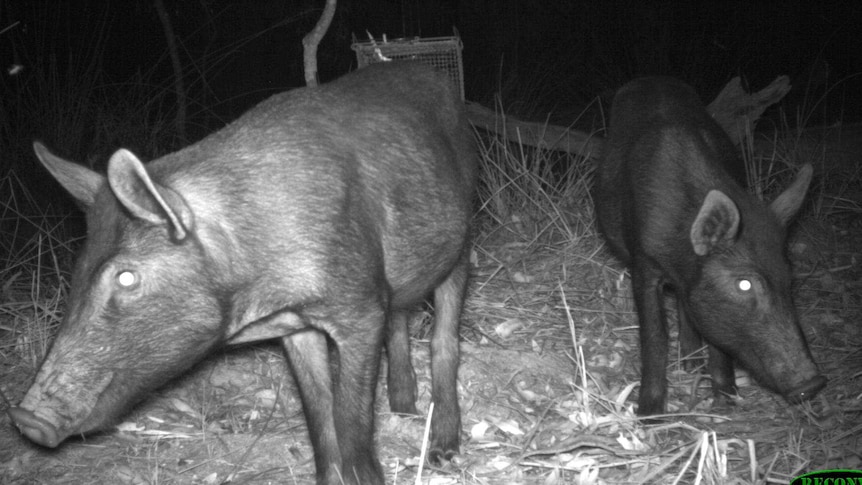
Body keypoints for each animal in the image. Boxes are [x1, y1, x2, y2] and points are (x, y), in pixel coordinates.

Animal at [8, 61, 480, 484]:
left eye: (126, 276)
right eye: (78, 268)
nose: (25, 419)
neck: (259, 285)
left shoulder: (360, 304)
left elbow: (352, 423)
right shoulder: (296, 327)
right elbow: (319, 421)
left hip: (464, 236)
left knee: (445, 337)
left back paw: (443, 450)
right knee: (401, 315)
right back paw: (403, 408)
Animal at [592, 76, 832, 416]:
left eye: (790, 280)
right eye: (744, 284)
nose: (814, 384)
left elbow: (714, 335)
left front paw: (725, 400)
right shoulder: (644, 263)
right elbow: (655, 335)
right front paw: (649, 415)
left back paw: (691, 364)